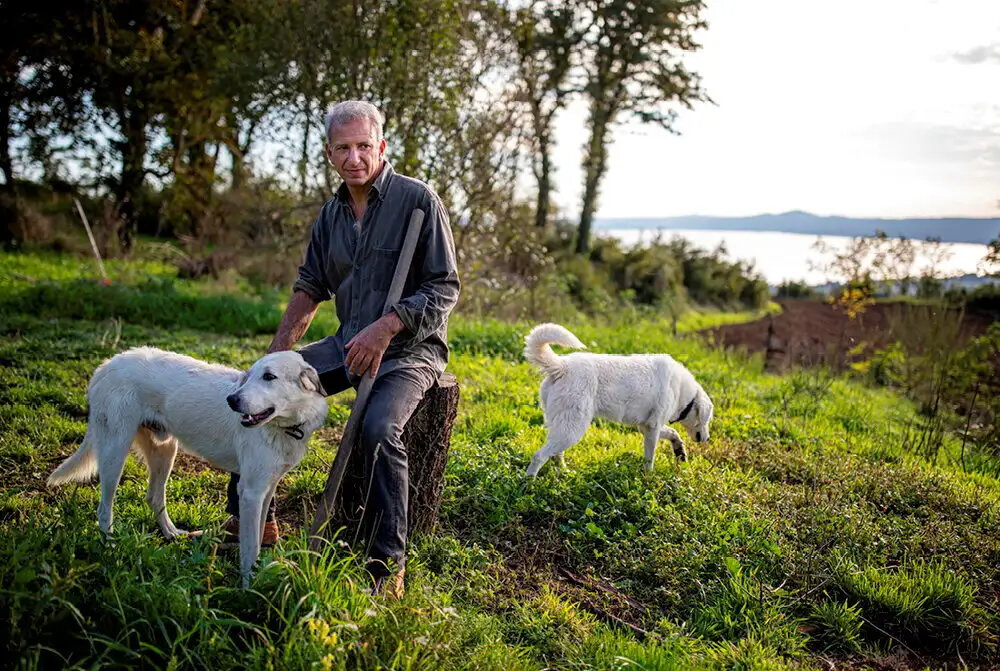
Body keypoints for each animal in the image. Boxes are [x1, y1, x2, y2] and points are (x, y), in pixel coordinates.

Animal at [47, 346, 328, 588]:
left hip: (164, 452)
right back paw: (110, 550)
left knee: (154, 497)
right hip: (114, 452)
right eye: (250, 376)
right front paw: (248, 588)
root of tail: (107, 364)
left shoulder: (267, 489)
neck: (284, 428)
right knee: (104, 509)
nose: (231, 400)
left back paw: (171, 533)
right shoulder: (250, 493)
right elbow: (248, 549)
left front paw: (259, 577)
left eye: (269, 377)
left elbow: (258, 538)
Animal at [524, 322, 712, 476]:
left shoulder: (646, 426)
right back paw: (529, 483)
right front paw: (649, 479)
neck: (684, 394)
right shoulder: (652, 428)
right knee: (539, 456)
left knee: (555, 454)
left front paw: (680, 452)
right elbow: (649, 459)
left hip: (562, 425)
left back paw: (564, 472)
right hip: (571, 429)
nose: (708, 439)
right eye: (708, 420)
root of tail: (561, 366)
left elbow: (674, 433)